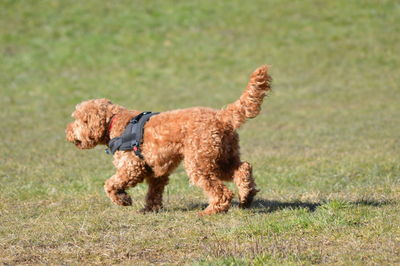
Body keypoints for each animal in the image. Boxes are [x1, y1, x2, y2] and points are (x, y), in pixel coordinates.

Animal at [65, 65, 272, 215]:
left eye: (77, 119)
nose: (67, 132)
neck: (115, 123)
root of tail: (222, 116)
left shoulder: (132, 166)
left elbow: (111, 184)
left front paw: (123, 199)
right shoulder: (156, 172)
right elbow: (154, 192)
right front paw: (149, 209)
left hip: (200, 162)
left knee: (221, 191)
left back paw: (212, 210)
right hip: (221, 157)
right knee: (243, 168)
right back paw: (246, 197)